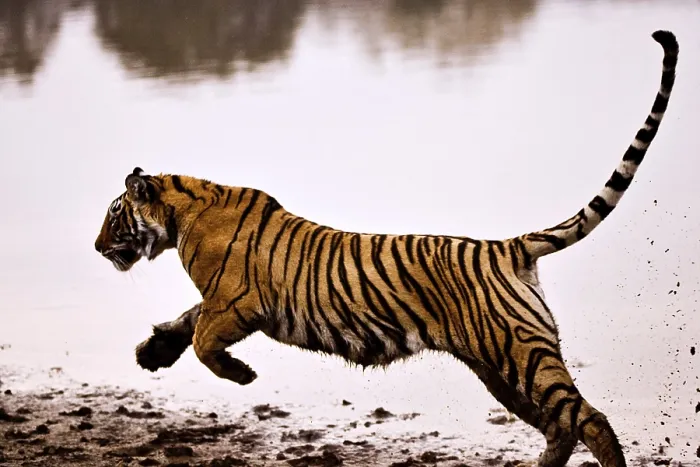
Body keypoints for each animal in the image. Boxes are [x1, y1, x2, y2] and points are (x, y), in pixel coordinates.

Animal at [94, 30, 678, 467]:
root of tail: (507, 248)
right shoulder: (220, 299)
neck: (180, 213)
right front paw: (151, 353)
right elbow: (186, 320)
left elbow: (204, 342)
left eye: (114, 214)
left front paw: (242, 375)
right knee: (561, 427)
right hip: (501, 370)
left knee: (589, 421)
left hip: (520, 355)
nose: (98, 248)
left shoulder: (235, 301)